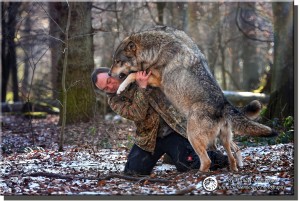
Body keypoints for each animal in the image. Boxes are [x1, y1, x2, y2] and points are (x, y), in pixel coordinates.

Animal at [109, 25, 278, 172]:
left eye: (117, 61)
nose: (110, 74)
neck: (154, 51)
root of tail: (224, 104)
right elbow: (134, 75)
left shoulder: (155, 79)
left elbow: (132, 75)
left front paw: (120, 87)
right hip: (223, 139)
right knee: (231, 155)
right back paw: (234, 168)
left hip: (193, 136)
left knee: (207, 160)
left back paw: (198, 175)